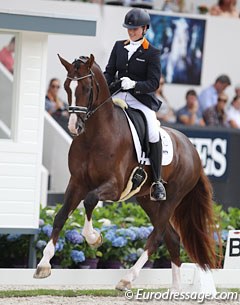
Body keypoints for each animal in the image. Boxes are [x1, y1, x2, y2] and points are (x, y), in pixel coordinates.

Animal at [33, 53, 219, 288]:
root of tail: (192, 150)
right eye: (67, 86)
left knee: (157, 237)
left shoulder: (114, 187)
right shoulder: (76, 182)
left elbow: (90, 201)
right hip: (148, 200)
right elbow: (60, 216)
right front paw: (43, 265)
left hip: (172, 197)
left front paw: (94, 238)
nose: (74, 127)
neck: (94, 136)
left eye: (86, 88)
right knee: (172, 238)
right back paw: (175, 289)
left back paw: (127, 278)